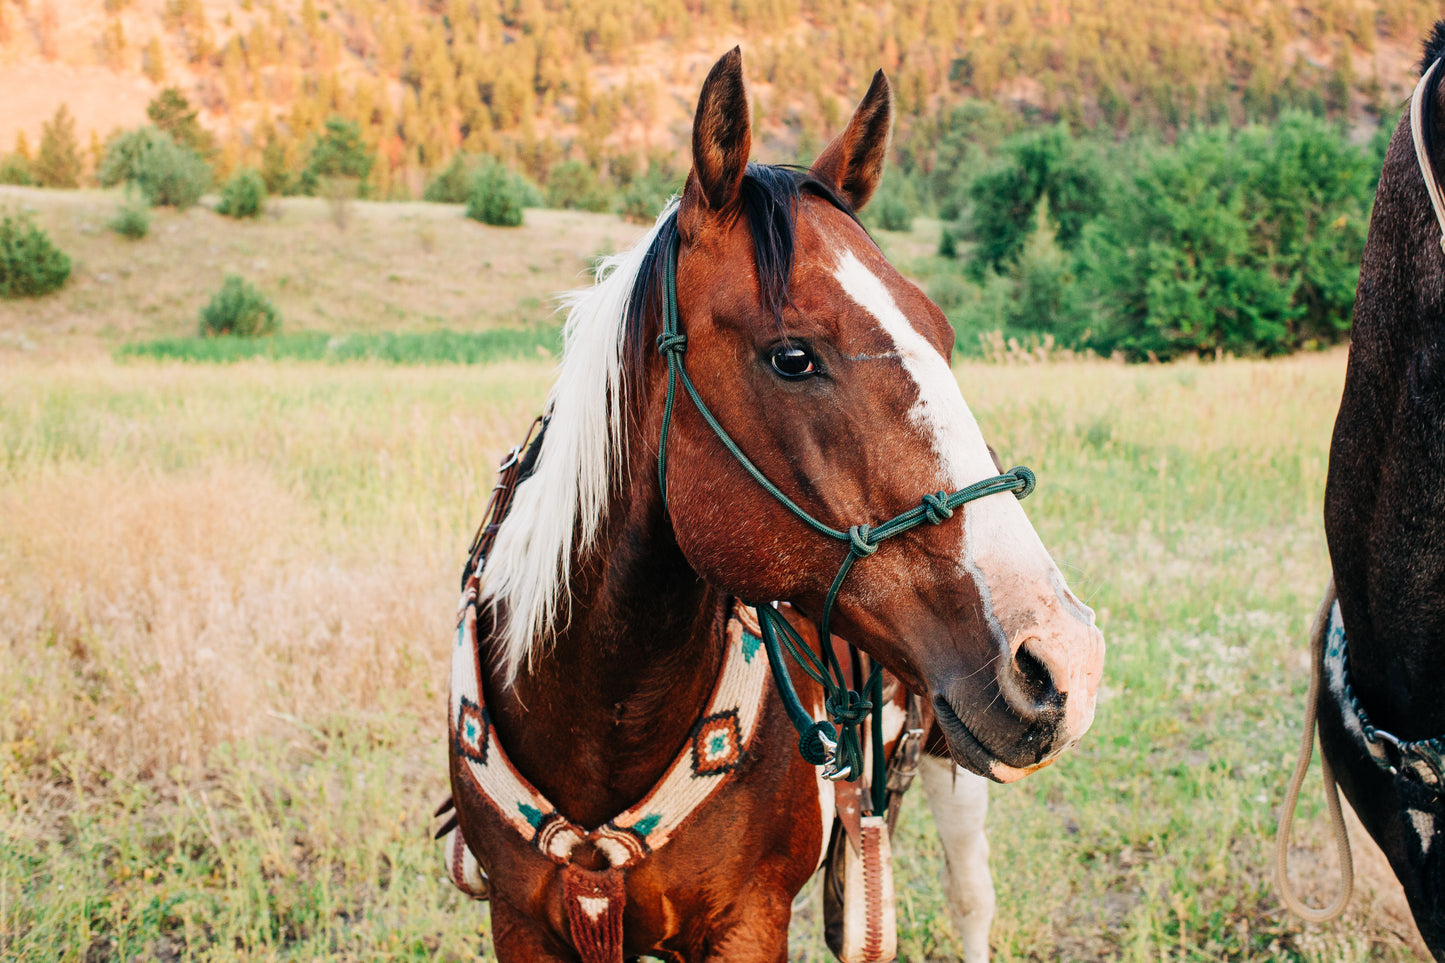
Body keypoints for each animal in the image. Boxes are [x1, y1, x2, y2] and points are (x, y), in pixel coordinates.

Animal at [445, 52, 1098, 960]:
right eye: (793, 356)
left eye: (942, 334)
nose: (1064, 659)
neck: (598, 711)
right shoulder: (519, 921)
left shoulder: (747, 922)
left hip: (953, 759)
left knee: (972, 901)